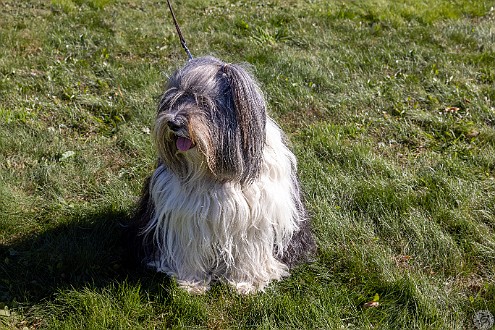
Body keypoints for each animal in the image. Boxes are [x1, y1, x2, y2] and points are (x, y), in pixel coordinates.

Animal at [132, 56, 316, 294]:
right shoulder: (185, 216)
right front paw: (191, 283)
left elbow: (249, 251)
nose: (173, 123)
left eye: (203, 102)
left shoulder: (255, 220)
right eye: (174, 100)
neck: (213, 170)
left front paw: (246, 283)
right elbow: (189, 249)